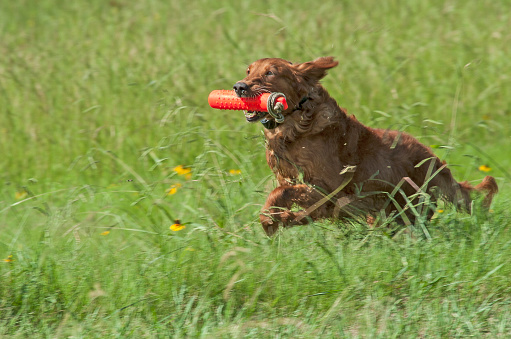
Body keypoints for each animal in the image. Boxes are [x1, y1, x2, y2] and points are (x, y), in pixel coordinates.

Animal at [234, 57, 498, 235]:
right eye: (248, 70)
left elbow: (285, 193)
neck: (297, 126)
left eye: (270, 73)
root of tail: (435, 162)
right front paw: (274, 218)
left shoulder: (331, 187)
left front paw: (273, 220)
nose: (239, 87)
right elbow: (287, 196)